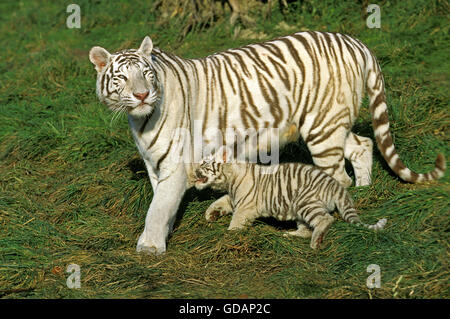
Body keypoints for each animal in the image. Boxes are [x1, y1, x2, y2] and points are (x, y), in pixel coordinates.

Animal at [89, 31, 444, 256]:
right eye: (121, 78)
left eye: (147, 74)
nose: (142, 95)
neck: (140, 119)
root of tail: (355, 41)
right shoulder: (154, 163)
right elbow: (160, 204)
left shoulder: (175, 164)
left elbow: (158, 207)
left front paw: (149, 248)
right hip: (335, 123)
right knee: (362, 144)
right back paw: (365, 188)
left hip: (323, 126)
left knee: (336, 178)